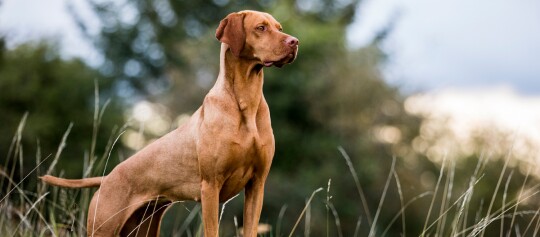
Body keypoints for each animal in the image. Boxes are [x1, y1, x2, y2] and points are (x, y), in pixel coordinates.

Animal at [40, 9, 298, 237]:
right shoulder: (210, 186)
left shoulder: (257, 184)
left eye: (279, 28)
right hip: (103, 227)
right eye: (261, 28)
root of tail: (106, 179)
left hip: (143, 226)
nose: (295, 42)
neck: (245, 102)